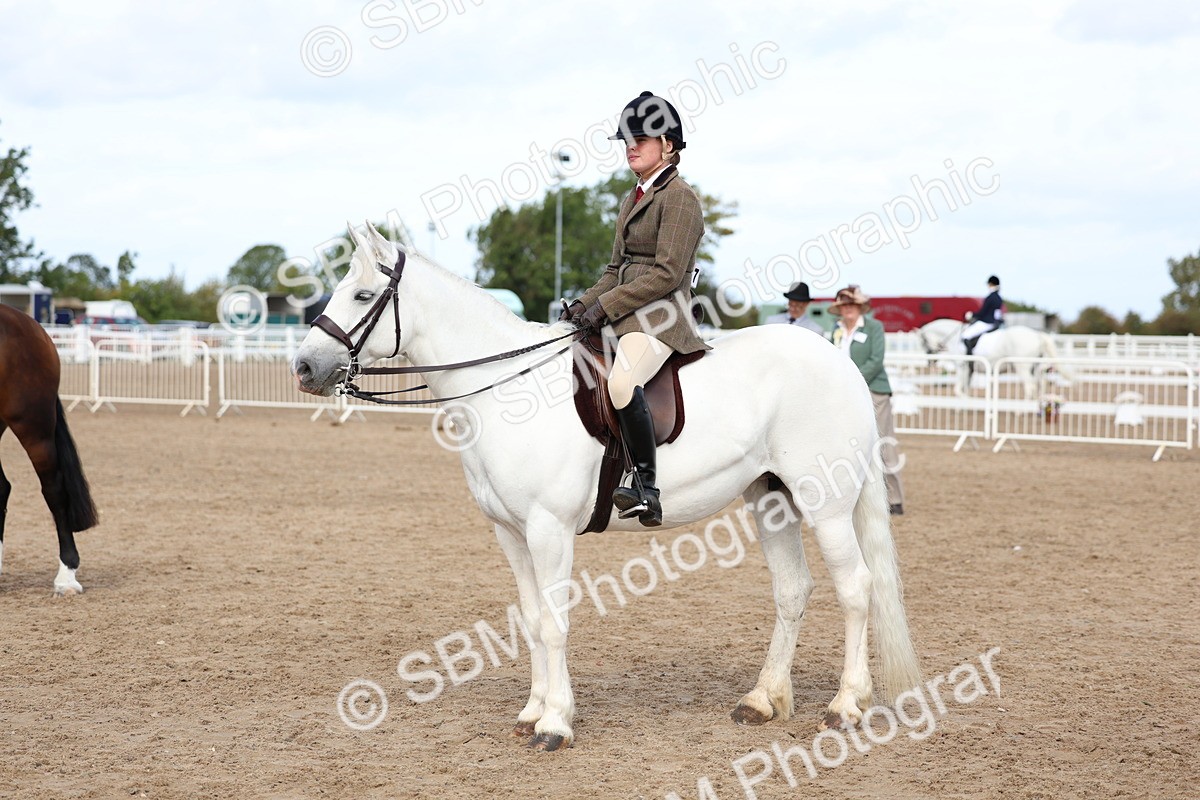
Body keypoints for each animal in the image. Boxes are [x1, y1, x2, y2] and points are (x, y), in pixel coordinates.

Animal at [292, 223, 923, 751]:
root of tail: (839, 363)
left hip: (826, 503)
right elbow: (531, 619)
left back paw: (846, 706)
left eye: (361, 296)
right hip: (770, 499)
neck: (506, 389)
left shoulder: (548, 530)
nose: (303, 368)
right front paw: (532, 711)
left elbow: (554, 622)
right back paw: (763, 701)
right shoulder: (511, 533)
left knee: (856, 587)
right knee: (793, 589)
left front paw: (554, 723)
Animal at [916, 318, 1072, 399]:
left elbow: (958, 390)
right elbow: (964, 388)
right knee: (1040, 385)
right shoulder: (969, 370)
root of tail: (1037, 335)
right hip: (1035, 368)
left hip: (1022, 366)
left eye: (923, 341)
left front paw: (967, 401)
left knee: (1030, 387)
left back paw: (1021, 412)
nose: (930, 360)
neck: (955, 338)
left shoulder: (962, 367)